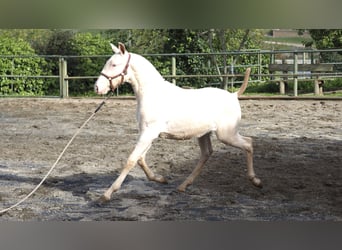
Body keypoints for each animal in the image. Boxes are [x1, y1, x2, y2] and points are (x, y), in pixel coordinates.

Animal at [95, 42, 260, 201]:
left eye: (114, 64)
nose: (97, 87)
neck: (153, 95)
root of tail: (234, 95)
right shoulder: (148, 133)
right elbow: (141, 159)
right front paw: (160, 179)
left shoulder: (148, 133)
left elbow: (132, 160)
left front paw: (107, 194)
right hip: (204, 135)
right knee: (207, 154)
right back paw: (183, 185)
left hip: (226, 135)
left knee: (248, 143)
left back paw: (256, 180)